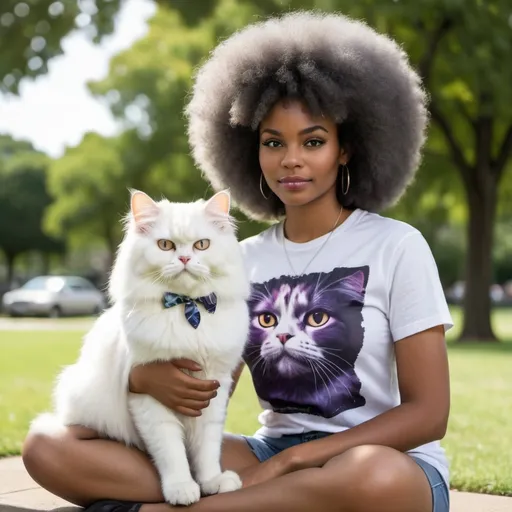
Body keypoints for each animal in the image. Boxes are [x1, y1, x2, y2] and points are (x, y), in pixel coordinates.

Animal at [30, 190, 250, 506]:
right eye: (165, 245)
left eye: (202, 244)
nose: (185, 258)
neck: (187, 308)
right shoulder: (151, 394)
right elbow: (172, 452)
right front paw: (182, 489)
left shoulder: (213, 390)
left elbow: (207, 449)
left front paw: (212, 482)